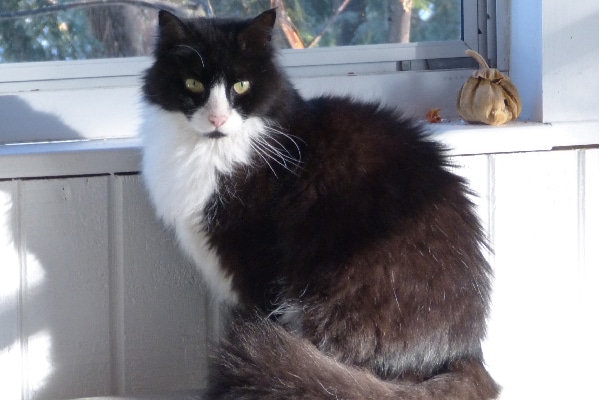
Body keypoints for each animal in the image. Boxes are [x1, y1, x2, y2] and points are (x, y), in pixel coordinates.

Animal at [138, 9, 500, 400]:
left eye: (241, 86)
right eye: (193, 84)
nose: (217, 118)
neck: (210, 152)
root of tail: (465, 352)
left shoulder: (255, 263)